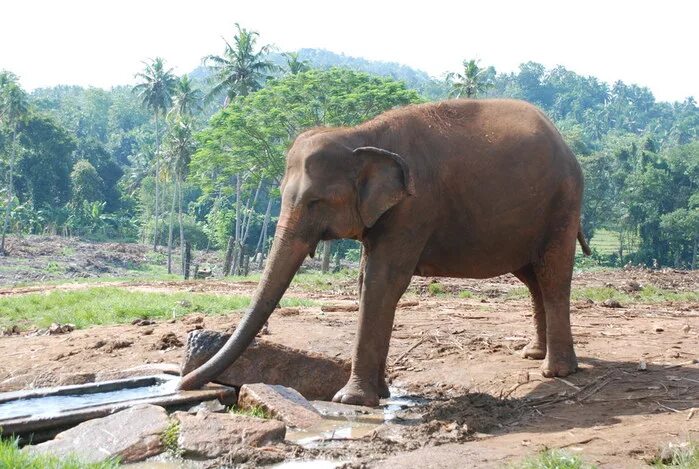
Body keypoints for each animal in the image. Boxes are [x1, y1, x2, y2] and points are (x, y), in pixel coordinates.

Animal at [179, 98, 592, 406]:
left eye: (315, 202)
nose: (184, 384)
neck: (360, 133)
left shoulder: (414, 206)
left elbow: (384, 280)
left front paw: (351, 400)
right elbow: (367, 281)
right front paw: (379, 394)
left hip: (562, 203)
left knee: (552, 274)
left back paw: (556, 371)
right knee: (533, 278)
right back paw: (533, 354)